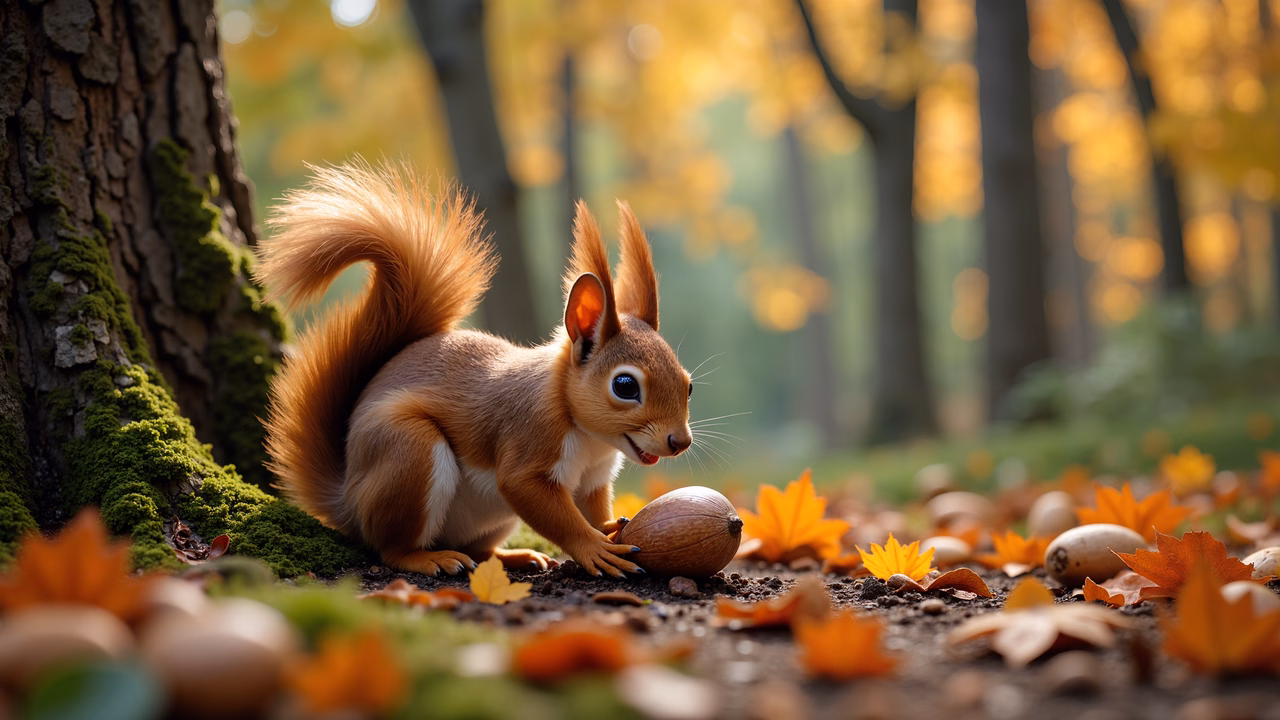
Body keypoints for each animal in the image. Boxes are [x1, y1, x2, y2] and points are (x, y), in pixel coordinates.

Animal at [254, 161, 693, 578]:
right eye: (625, 385)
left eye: (688, 386)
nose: (680, 442)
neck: (590, 438)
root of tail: (346, 499)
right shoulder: (530, 436)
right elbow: (539, 501)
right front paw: (595, 548)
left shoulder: (594, 479)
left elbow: (593, 508)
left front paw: (610, 528)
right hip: (409, 451)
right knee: (389, 548)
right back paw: (429, 558)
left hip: (488, 519)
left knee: (479, 551)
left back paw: (516, 556)